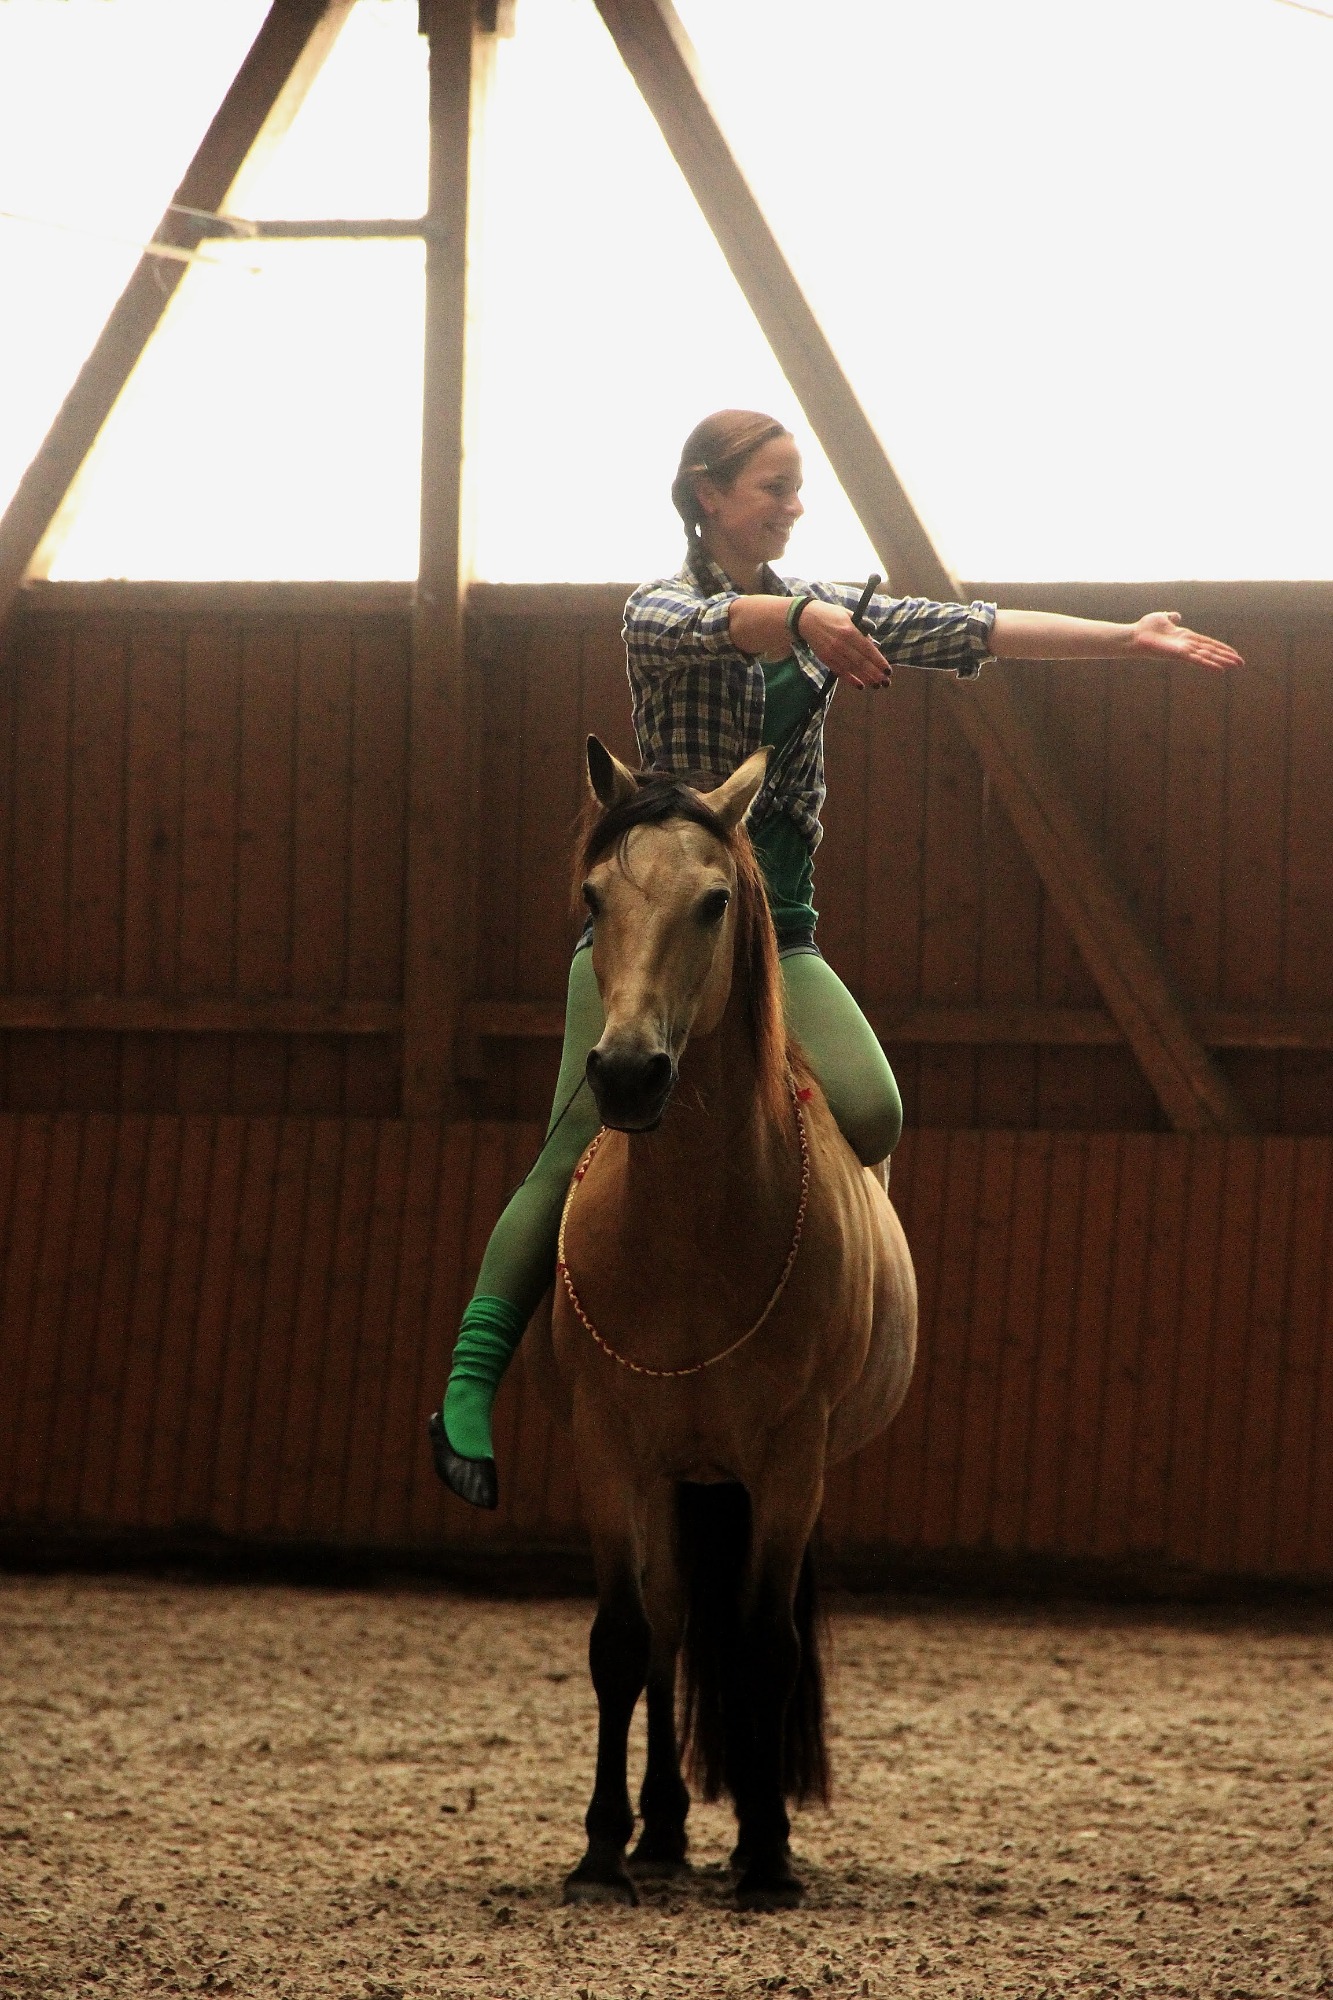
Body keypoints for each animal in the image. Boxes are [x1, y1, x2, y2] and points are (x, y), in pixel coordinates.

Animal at [527, 735, 917, 1910]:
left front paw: (767, 1850)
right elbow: (623, 1639)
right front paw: (600, 1850)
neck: (695, 1237)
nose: (624, 1072)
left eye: (712, 901)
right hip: (676, 1477)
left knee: (741, 1634)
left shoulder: (789, 1463)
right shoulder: (609, 1452)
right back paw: (658, 1830)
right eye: (594, 896)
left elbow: (763, 1645)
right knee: (665, 1629)